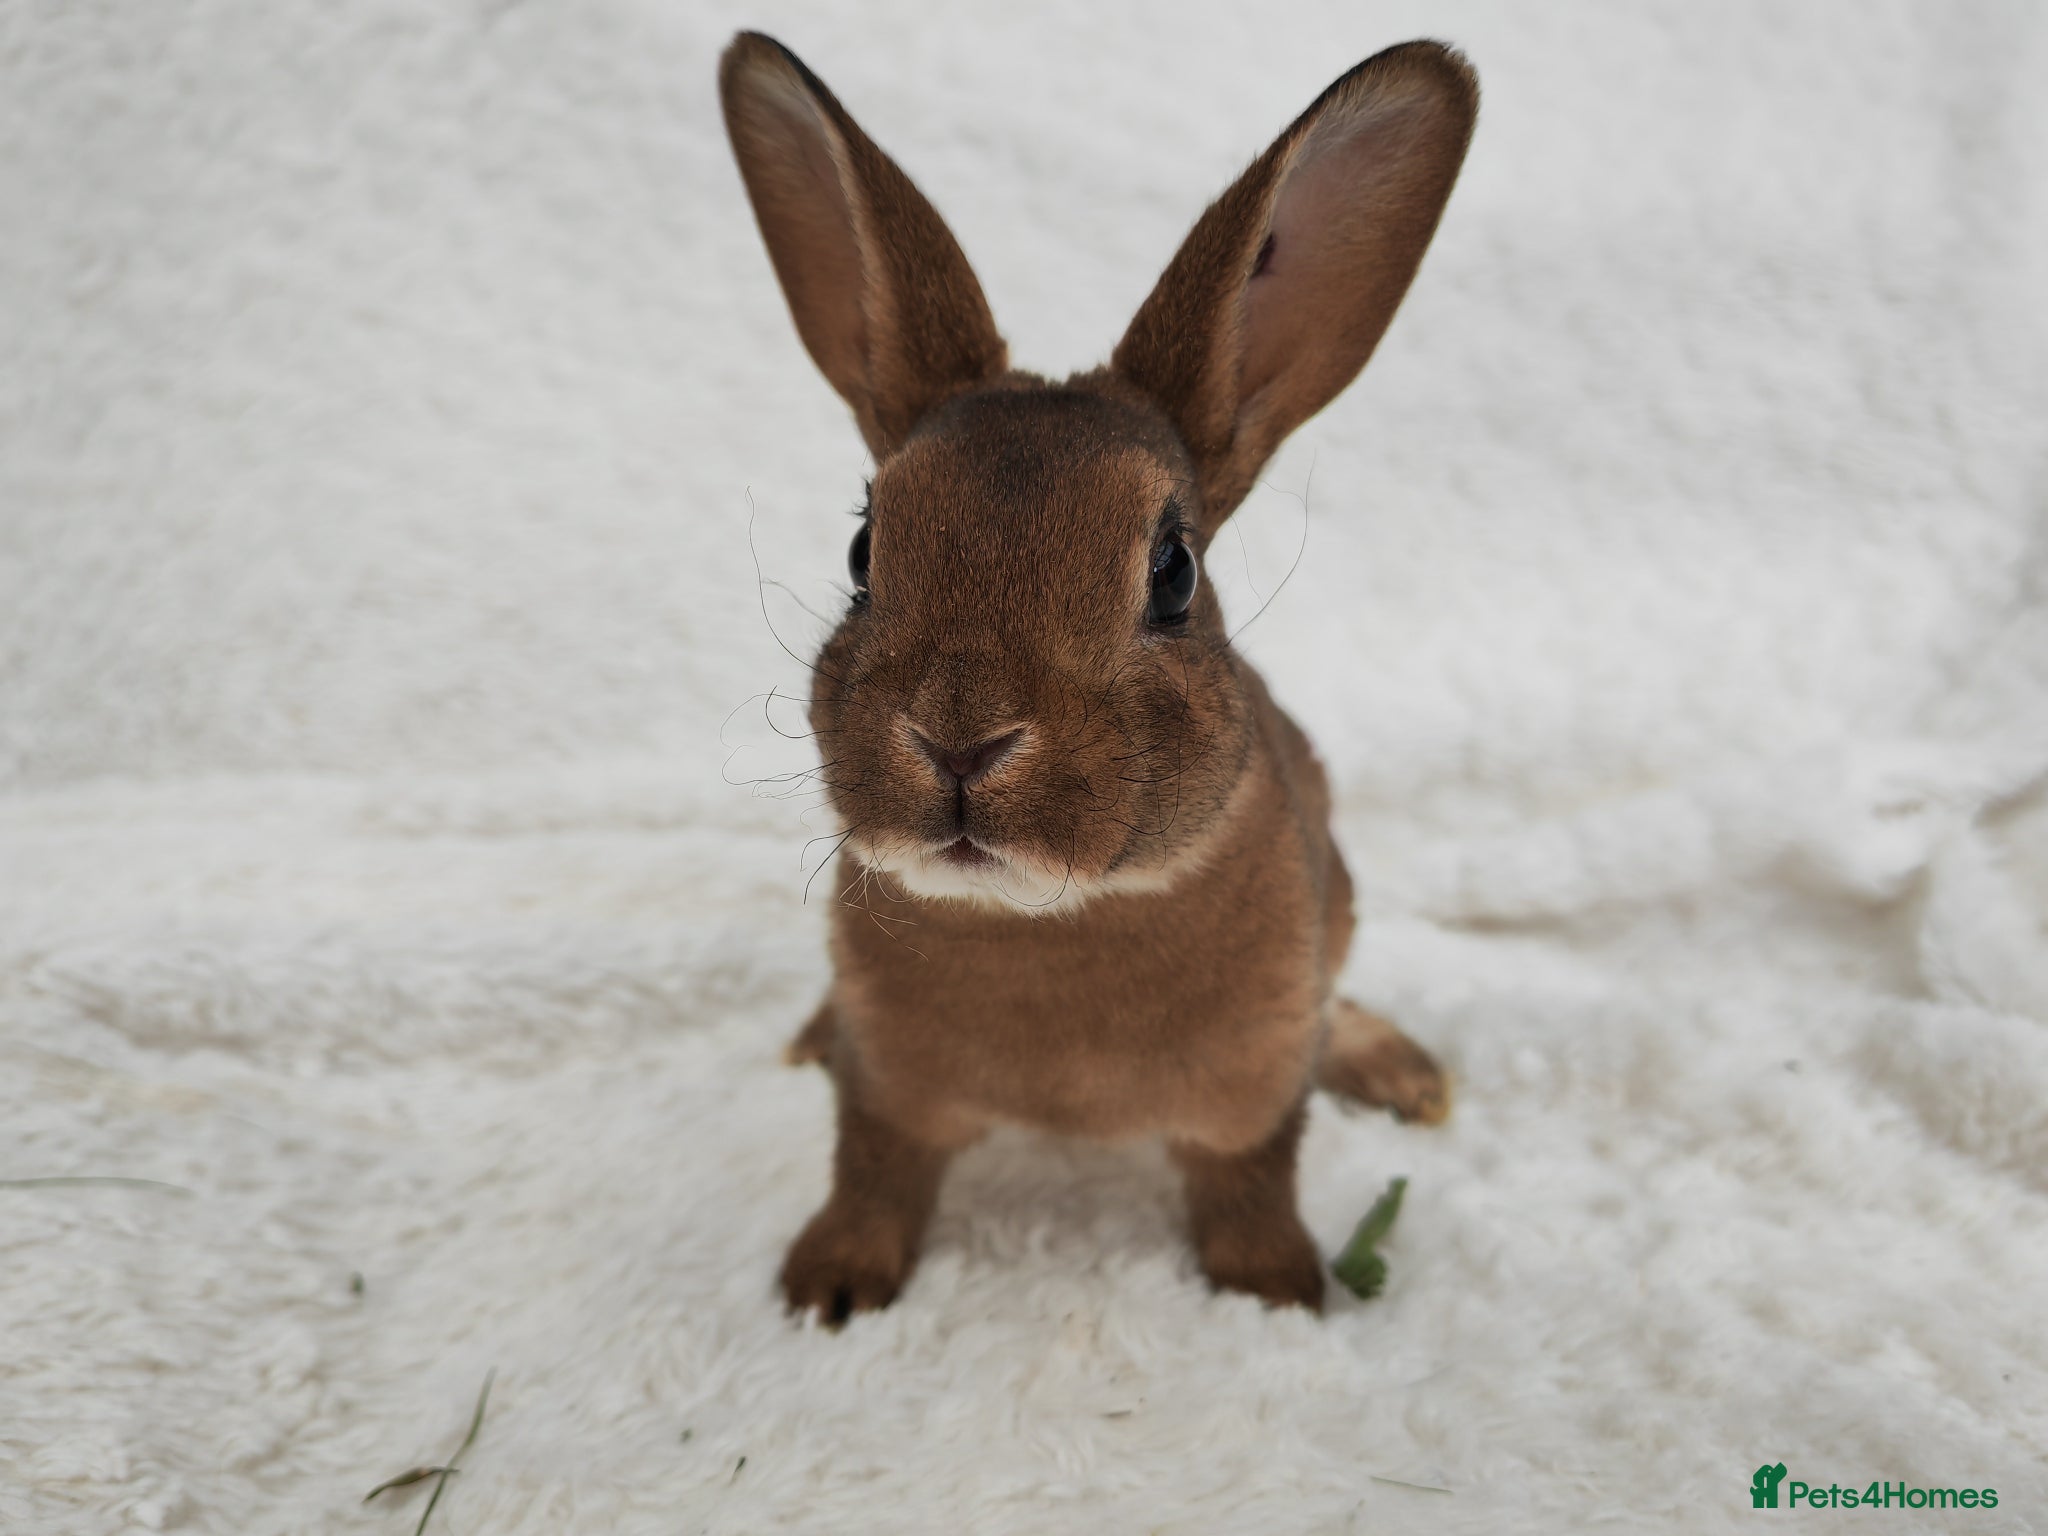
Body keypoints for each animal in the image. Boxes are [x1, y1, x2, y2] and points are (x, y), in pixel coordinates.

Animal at [720, 31, 1477, 1319]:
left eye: (1172, 571)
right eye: (866, 553)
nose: (959, 738)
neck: (1048, 919)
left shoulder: (1250, 1090)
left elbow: (1250, 1181)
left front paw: (1274, 1295)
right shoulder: (887, 1094)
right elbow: (871, 1170)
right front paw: (827, 1291)